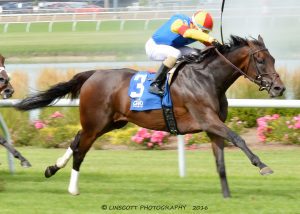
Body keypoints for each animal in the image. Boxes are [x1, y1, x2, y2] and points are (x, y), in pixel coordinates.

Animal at [15, 35, 284, 197]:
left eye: (273, 58)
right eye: (261, 60)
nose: (279, 88)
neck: (208, 79)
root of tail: (93, 73)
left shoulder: (212, 127)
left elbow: (220, 162)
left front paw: (227, 195)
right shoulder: (208, 120)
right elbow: (238, 138)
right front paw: (263, 166)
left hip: (109, 123)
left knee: (75, 140)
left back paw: (52, 168)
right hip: (96, 122)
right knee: (81, 150)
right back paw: (73, 188)